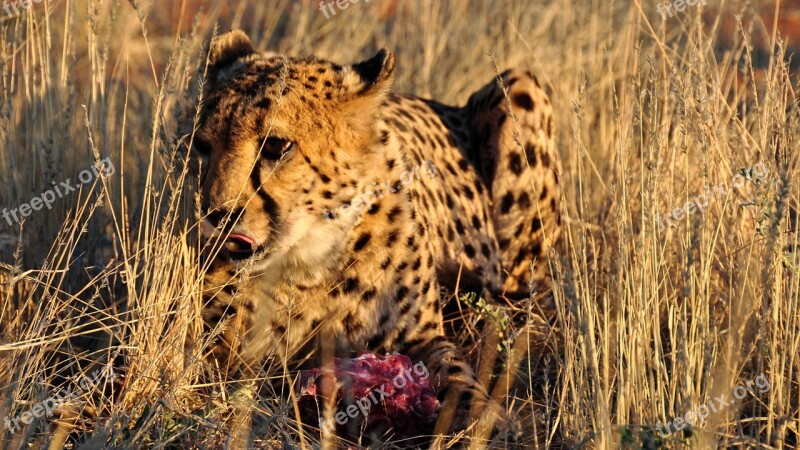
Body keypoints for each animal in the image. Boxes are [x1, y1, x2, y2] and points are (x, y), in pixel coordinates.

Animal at [184, 31, 564, 446]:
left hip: (518, 85)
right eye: (202, 146)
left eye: (276, 146)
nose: (216, 213)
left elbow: (457, 374)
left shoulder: (420, 339)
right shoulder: (226, 352)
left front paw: (485, 421)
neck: (312, 258)